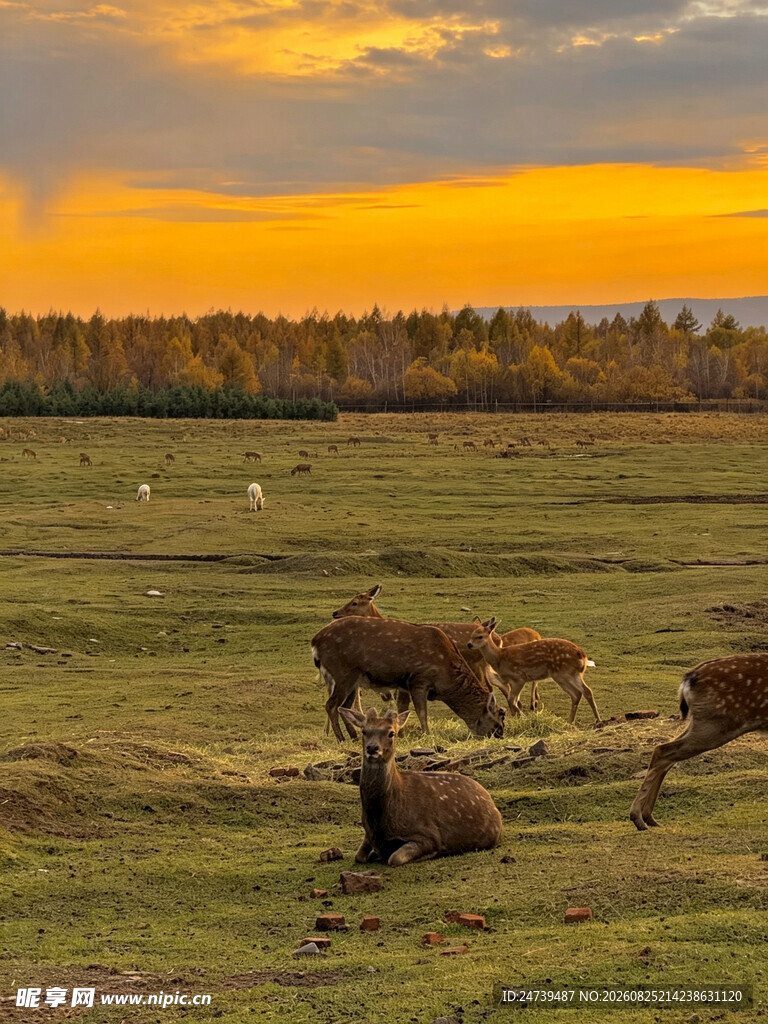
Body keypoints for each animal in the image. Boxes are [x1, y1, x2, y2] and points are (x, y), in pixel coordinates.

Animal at [312, 616, 505, 742]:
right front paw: (427, 734)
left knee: (344, 706)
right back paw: (341, 738)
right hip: (342, 672)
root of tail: (315, 643)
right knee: (331, 705)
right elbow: (421, 711)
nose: (500, 734)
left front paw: (400, 734)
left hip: (354, 678)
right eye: (500, 715)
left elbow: (402, 708)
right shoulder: (418, 679)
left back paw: (353, 737)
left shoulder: (403, 684)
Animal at [339, 707, 503, 866]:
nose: (372, 748)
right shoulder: (368, 835)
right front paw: (373, 854)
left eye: (391, 733)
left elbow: (395, 858)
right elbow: (358, 856)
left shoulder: (429, 835)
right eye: (364, 731)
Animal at [467, 617, 600, 723]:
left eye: (480, 636)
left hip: (562, 673)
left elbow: (512, 700)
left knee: (577, 693)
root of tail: (582, 655)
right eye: (472, 634)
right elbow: (515, 700)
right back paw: (586, 721)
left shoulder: (519, 678)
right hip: (573, 674)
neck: (499, 658)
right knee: (584, 691)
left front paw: (524, 718)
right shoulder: (511, 681)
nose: (469, 644)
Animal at [630, 654, 768, 831]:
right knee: (663, 751)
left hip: (702, 723)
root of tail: (689, 677)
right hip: (715, 725)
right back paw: (638, 818)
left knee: (665, 754)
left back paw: (649, 818)